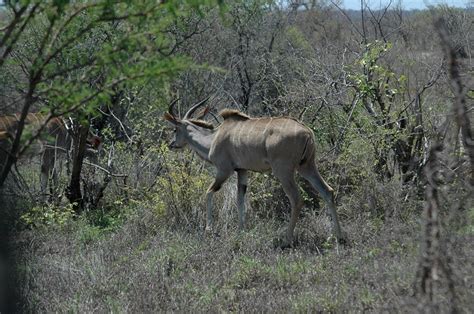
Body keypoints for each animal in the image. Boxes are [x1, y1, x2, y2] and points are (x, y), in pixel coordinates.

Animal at [165, 99, 342, 247]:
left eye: (174, 129)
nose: (171, 144)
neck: (213, 138)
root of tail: (307, 133)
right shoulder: (242, 171)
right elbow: (240, 199)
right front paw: (241, 231)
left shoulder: (224, 170)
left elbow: (209, 192)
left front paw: (209, 229)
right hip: (307, 167)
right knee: (328, 191)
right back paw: (338, 236)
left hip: (283, 171)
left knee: (296, 199)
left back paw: (286, 240)